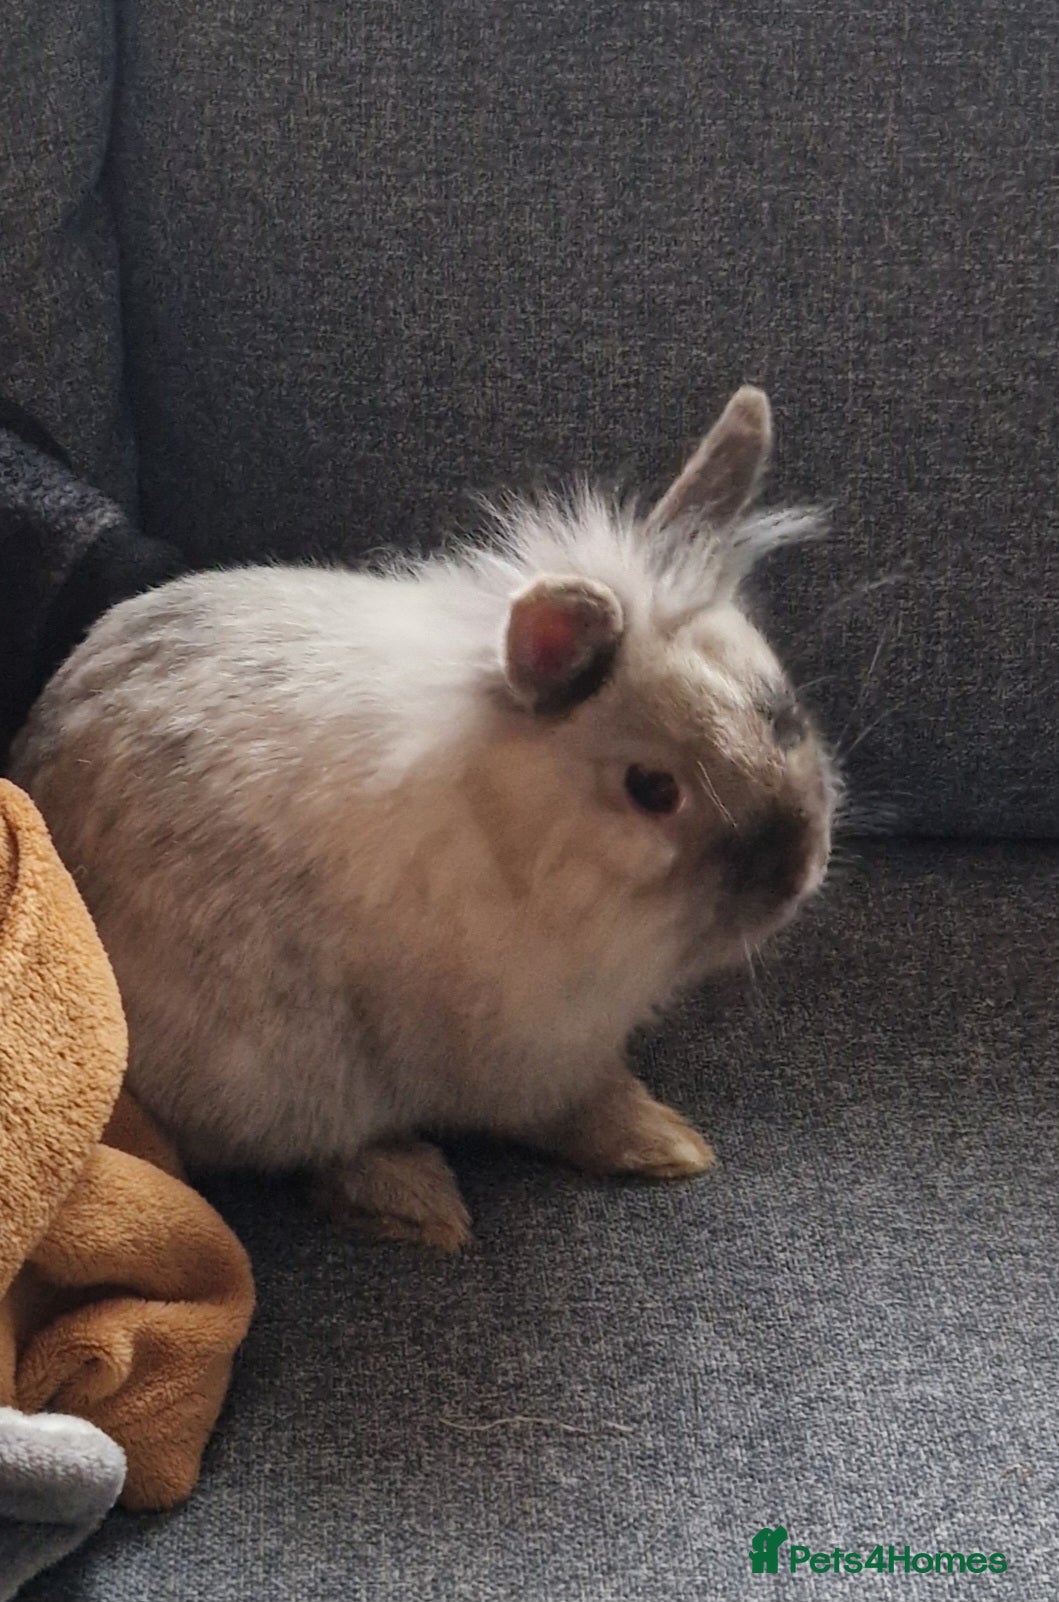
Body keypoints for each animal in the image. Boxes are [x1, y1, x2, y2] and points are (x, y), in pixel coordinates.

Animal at [11, 386, 840, 1250]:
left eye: (785, 717)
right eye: (652, 789)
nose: (796, 874)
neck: (515, 834)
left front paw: (670, 1141)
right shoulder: (533, 1054)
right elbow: (571, 1112)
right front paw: (662, 1143)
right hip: (279, 1077)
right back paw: (419, 1202)